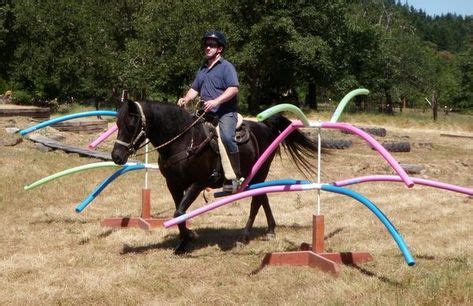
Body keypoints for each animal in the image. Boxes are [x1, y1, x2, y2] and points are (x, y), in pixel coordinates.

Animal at [112, 100, 316, 253]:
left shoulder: (198, 182)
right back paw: (271, 230)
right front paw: (184, 242)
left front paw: (189, 237)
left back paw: (244, 237)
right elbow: (179, 212)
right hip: (257, 176)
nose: (116, 156)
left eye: (130, 125)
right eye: (117, 124)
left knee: (256, 202)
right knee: (262, 197)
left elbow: (178, 212)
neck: (183, 141)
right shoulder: (174, 184)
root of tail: (264, 126)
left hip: (260, 172)